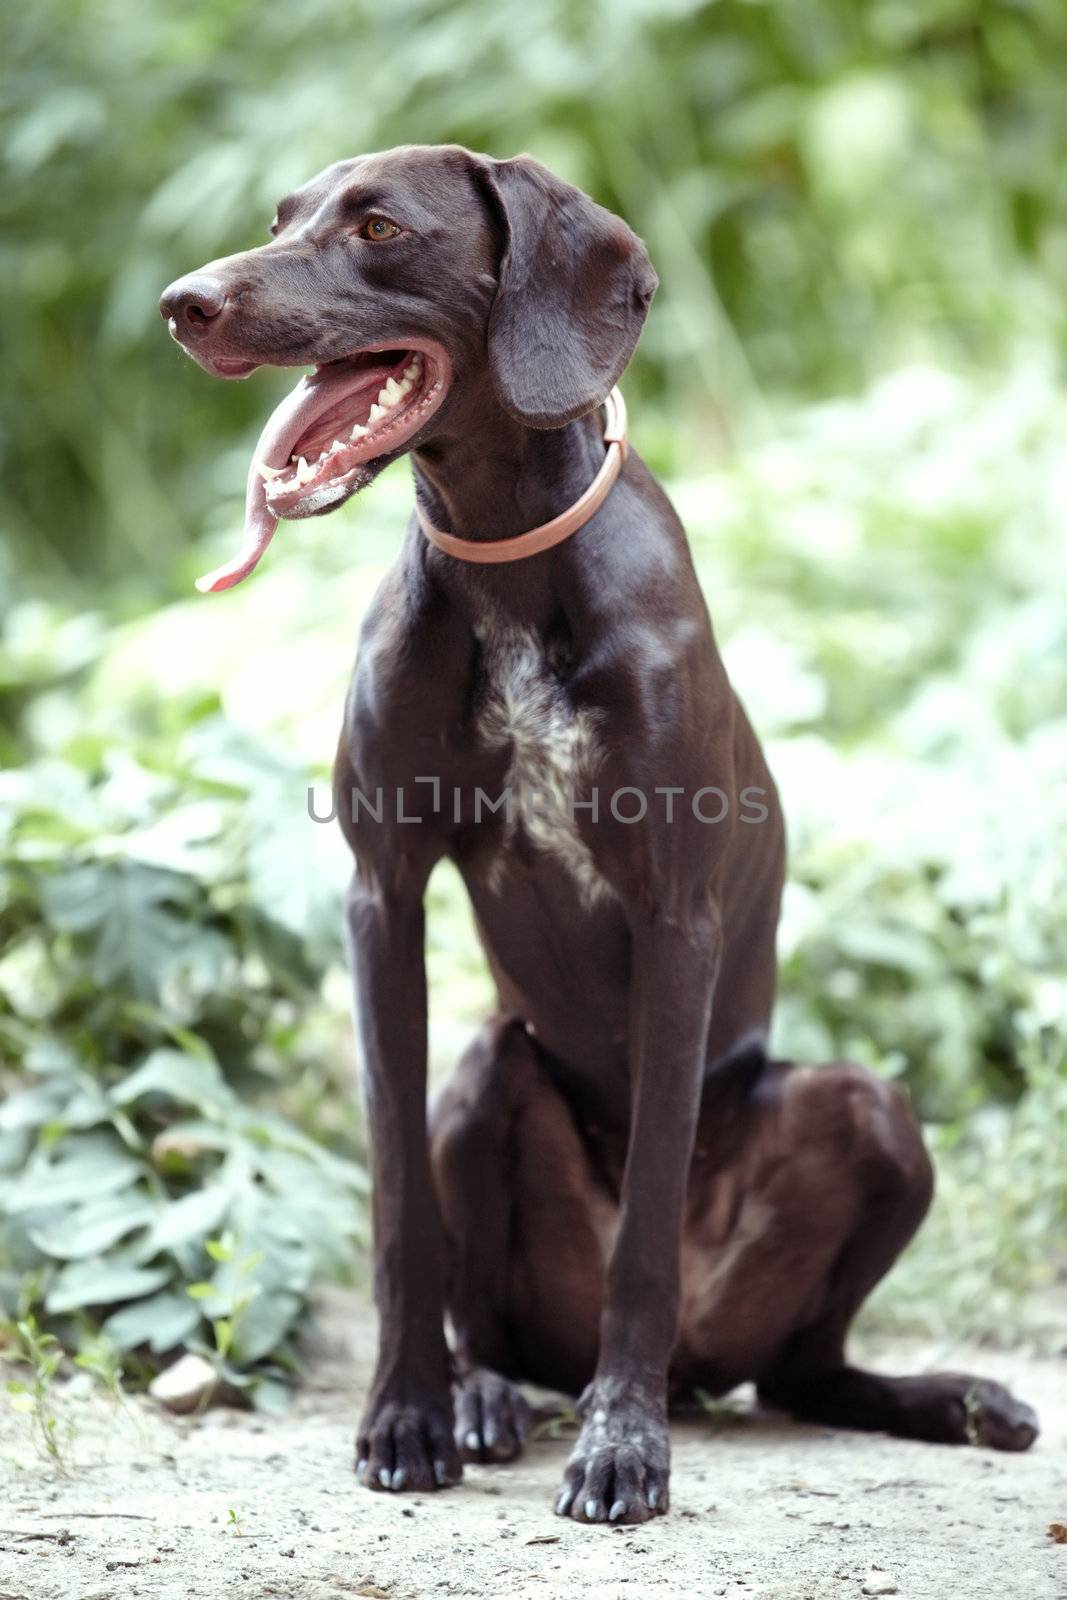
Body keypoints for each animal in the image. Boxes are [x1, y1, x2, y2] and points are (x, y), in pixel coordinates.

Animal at [163, 140, 1036, 1523]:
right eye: (282, 217)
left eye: (375, 227)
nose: (182, 305)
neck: (503, 559)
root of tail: (703, 1370)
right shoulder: (381, 896)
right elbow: (397, 1201)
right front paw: (402, 1413)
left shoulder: (674, 918)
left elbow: (645, 1235)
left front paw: (621, 1444)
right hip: (487, 1072)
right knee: (504, 1322)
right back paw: (478, 1398)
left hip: (866, 1110)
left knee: (804, 1367)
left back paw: (934, 1399)